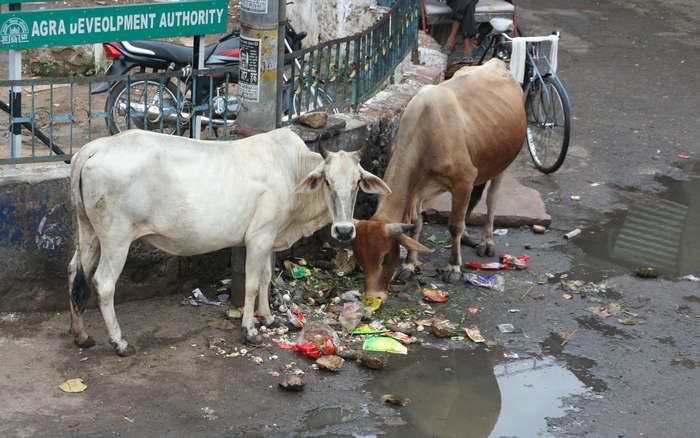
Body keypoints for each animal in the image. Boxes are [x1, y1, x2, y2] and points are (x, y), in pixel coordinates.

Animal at [67, 128, 392, 354]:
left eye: (357, 183)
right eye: (326, 181)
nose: (344, 231)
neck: (291, 171)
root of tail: (97, 146)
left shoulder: (271, 237)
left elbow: (266, 278)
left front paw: (268, 318)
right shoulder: (259, 236)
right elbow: (252, 283)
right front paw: (250, 329)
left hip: (88, 233)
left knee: (74, 274)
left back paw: (81, 336)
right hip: (116, 238)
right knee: (103, 284)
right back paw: (119, 342)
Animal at [356, 59, 524, 302]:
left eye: (386, 257)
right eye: (359, 258)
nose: (372, 297)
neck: (427, 129)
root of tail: (496, 62)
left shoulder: (463, 180)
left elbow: (454, 225)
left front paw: (454, 268)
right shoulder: (419, 189)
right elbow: (416, 225)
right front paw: (409, 265)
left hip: (502, 163)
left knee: (491, 200)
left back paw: (487, 242)